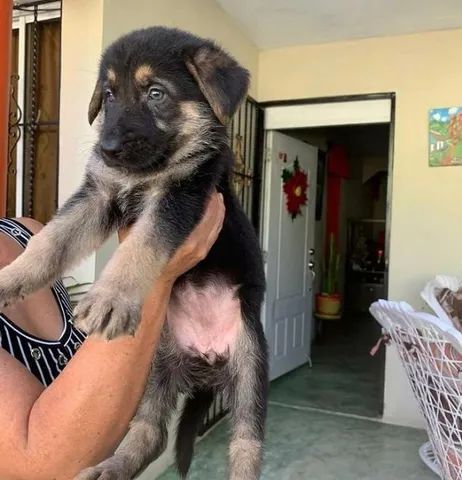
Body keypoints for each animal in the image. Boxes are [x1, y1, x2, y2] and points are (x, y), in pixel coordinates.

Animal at [0, 27, 268, 480]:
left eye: (156, 93)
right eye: (108, 95)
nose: (106, 150)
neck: (148, 172)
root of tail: (207, 360)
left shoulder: (179, 197)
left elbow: (141, 247)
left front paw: (110, 298)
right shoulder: (99, 194)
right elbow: (51, 240)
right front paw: (11, 277)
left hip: (249, 364)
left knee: (246, 443)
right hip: (157, 367)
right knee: (150, 431)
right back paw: (113, 466)